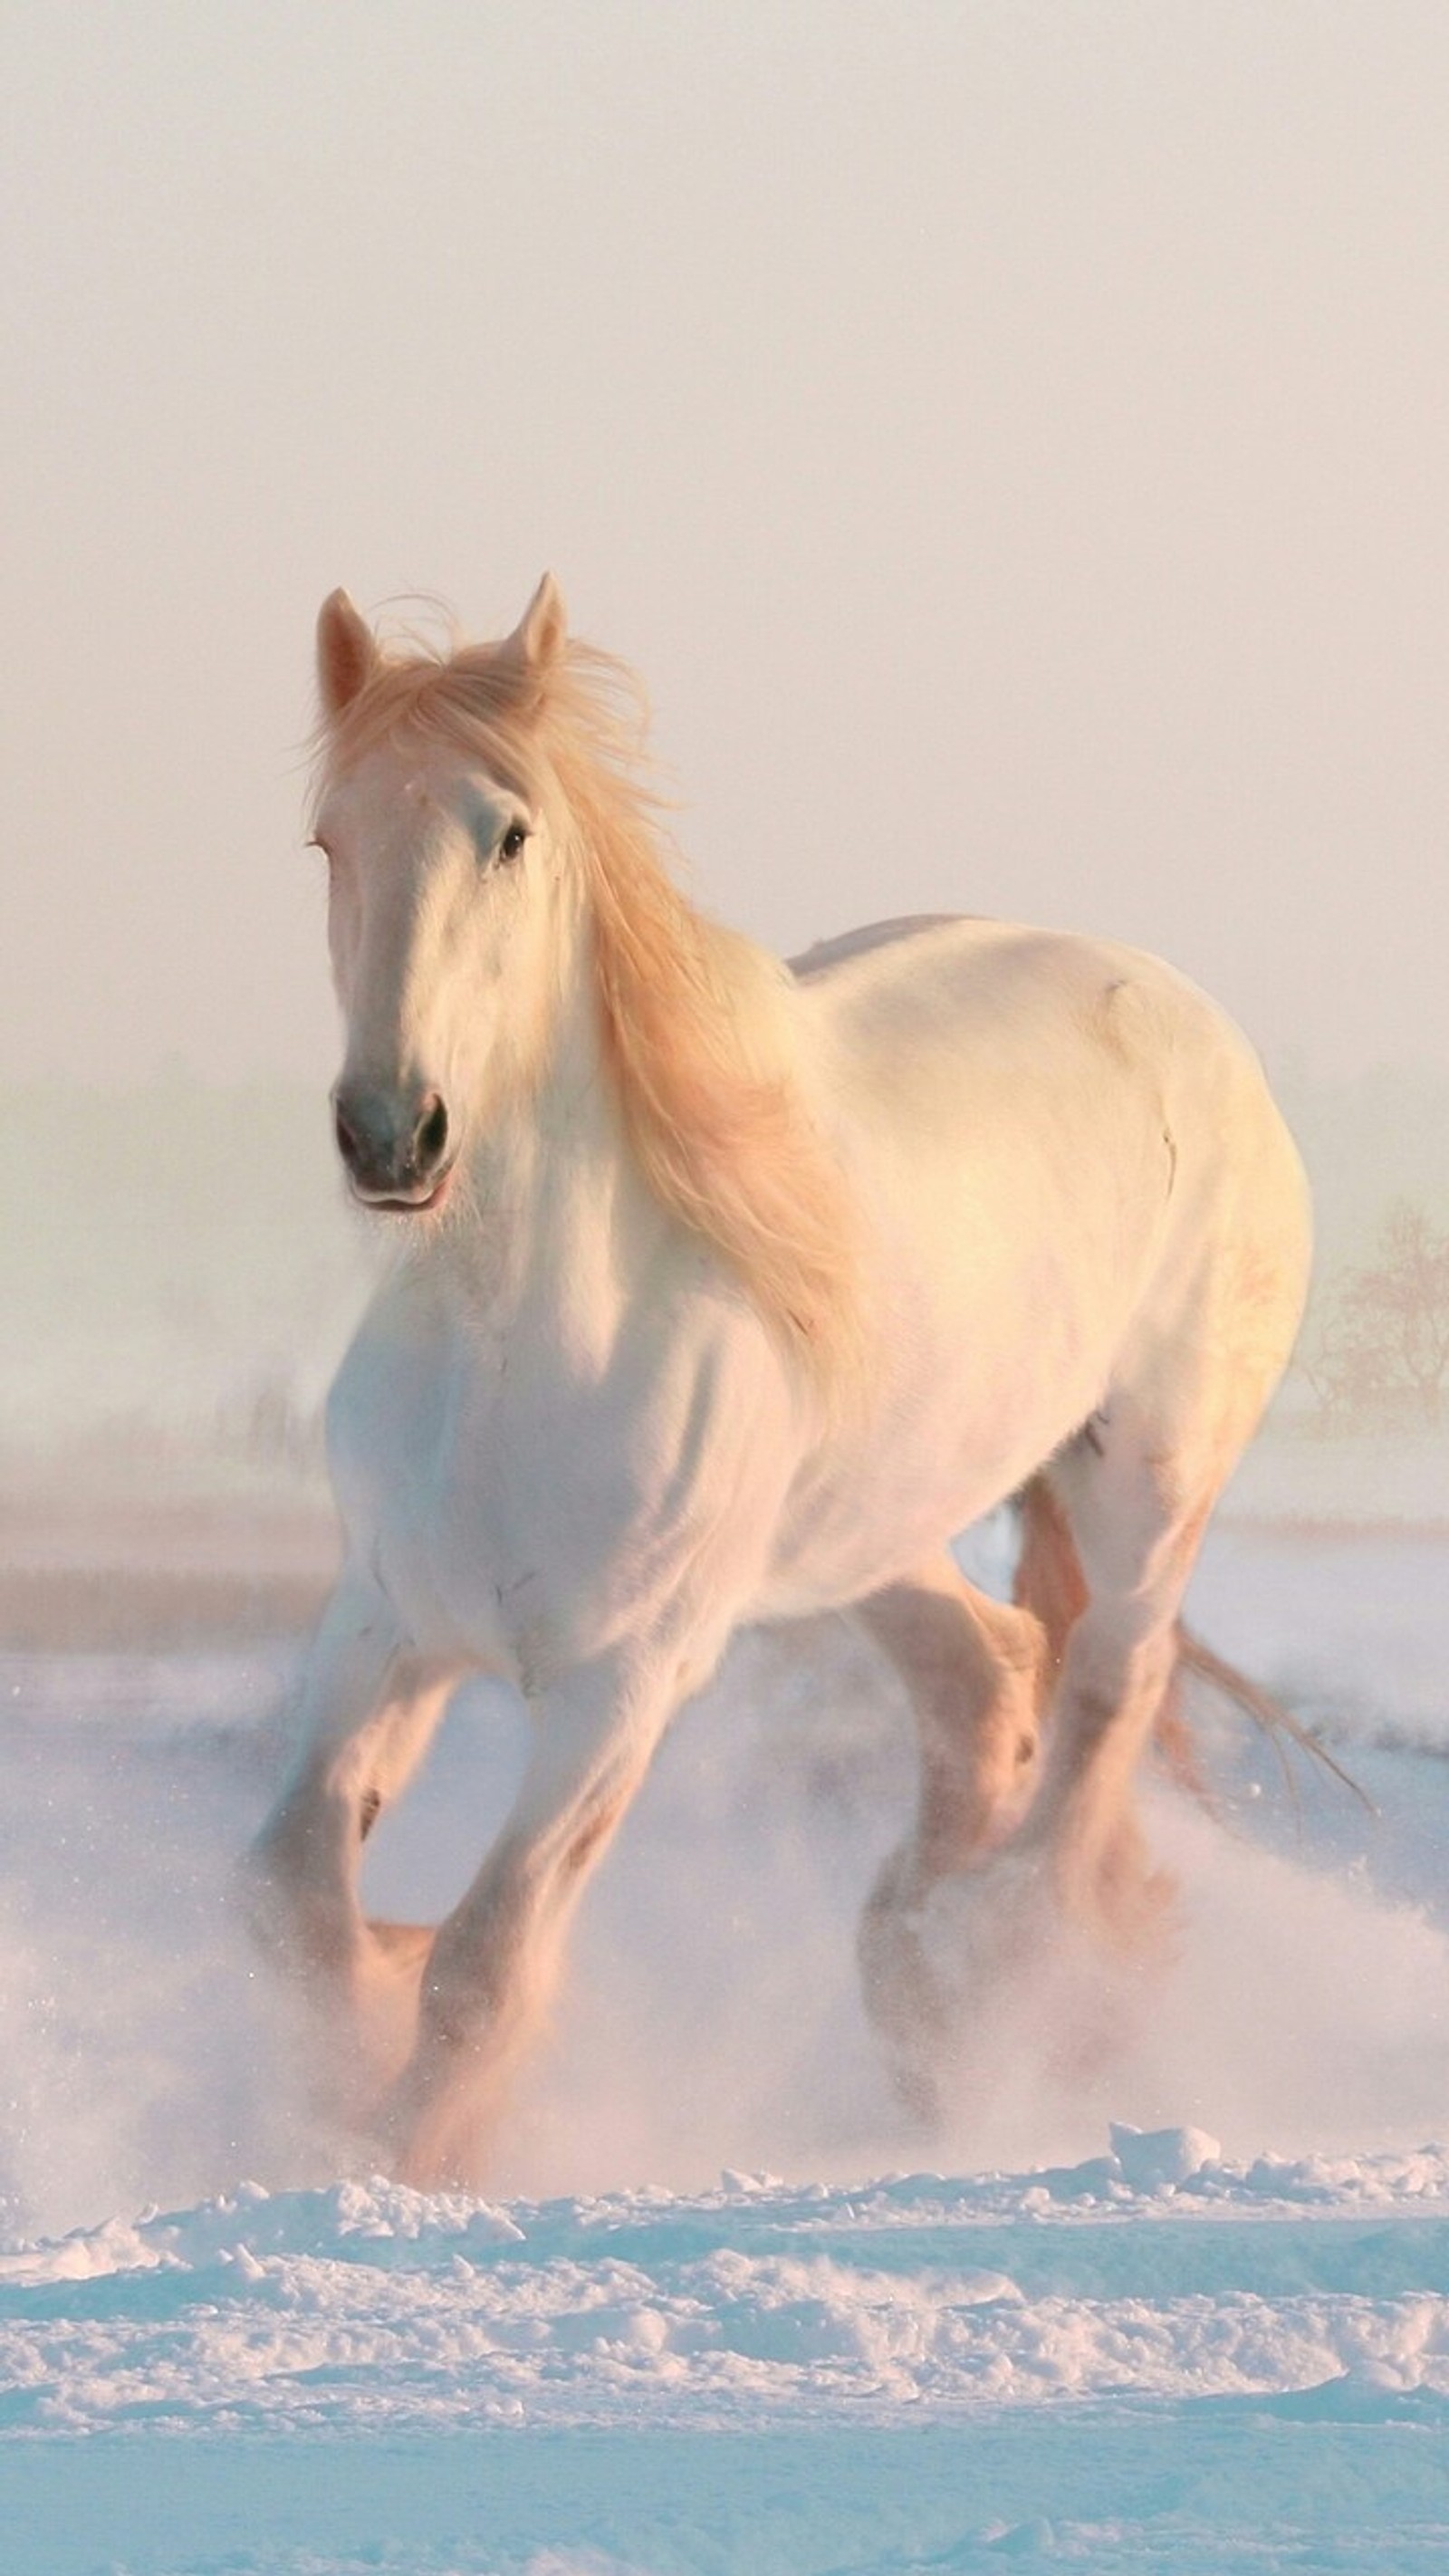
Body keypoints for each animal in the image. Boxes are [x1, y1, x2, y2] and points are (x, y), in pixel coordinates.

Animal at [252, 574, 1318, 2184]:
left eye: (510, 834)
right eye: (331, 839)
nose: (393, 1133)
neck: (516, 1348)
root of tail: (1186, 1014)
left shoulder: (622, 1685)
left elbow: (487, 1963)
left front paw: (406, 2159)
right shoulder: (384, 1622)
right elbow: (297, 1900)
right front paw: (344, 2069)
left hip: (1149, 1474)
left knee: (1104, 1693)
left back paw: (1006, 1977)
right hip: (869, 1531)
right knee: (988, 1676)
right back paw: (921, 1988)